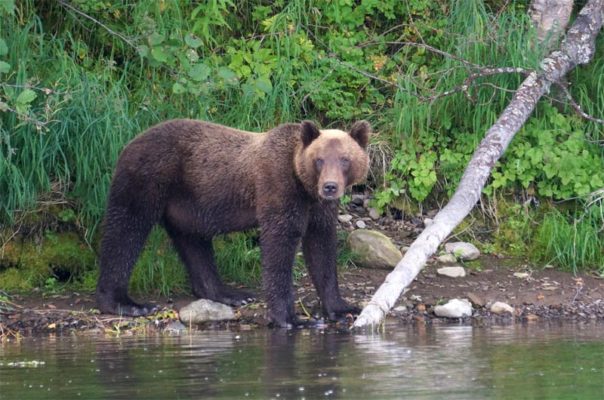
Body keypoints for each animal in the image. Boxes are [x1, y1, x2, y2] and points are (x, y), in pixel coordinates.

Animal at [96, 118, 370, 324]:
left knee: (193, 243)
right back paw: (124, 303)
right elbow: (279, 245)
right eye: (319, 159)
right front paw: (288, 317)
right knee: (126, 230)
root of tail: (130, 141)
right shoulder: (279, 187)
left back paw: (228, 294)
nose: (330, 187)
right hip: (148, 177)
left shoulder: (318, 209)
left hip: (187, 204)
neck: (305, 187)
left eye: (345, 159)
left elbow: (321, 248)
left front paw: (342, 307)